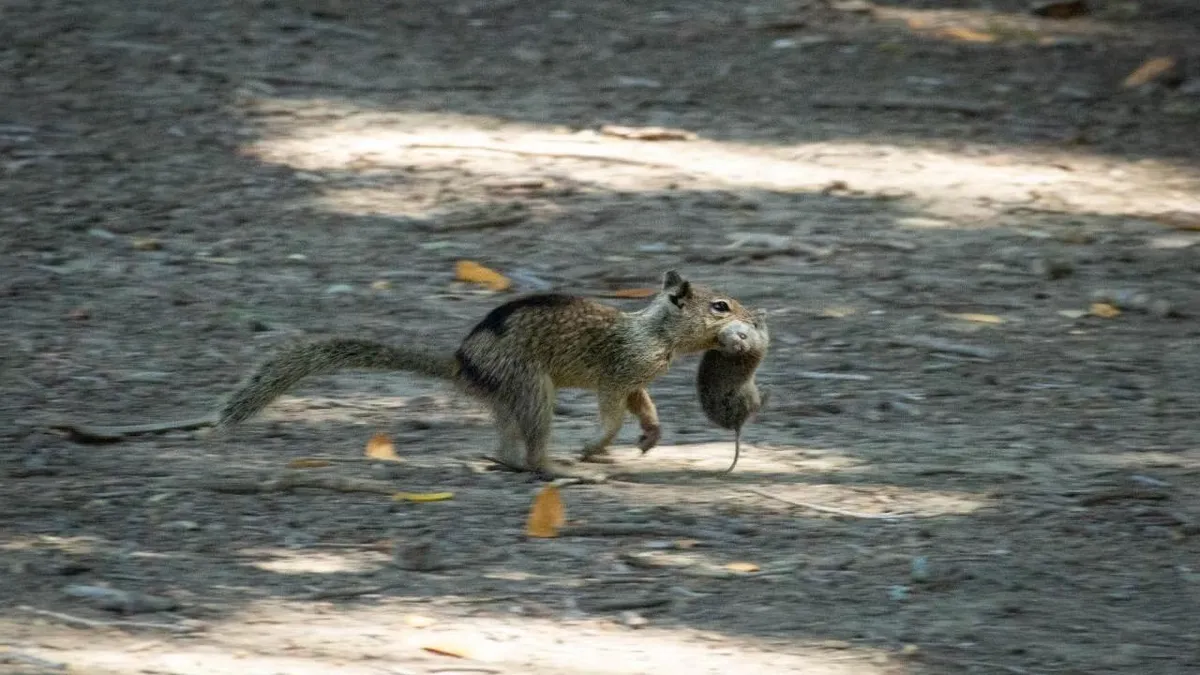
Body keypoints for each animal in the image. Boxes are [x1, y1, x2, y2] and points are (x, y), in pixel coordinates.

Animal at [212, 267, 753, 478]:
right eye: (720, 306)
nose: (753, 320)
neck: (656, 332)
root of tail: (462, 364)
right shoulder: (618, 373)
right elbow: (613, 413)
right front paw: (596, 444)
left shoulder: (636, 380)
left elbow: (645, 406)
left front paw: (650, 436)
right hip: (532, 388)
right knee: (532, 453)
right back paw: (560, 466)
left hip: (510, 397)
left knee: (508, 448)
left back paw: (506, 460)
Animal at [696, 306, 768, 470]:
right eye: (723, 343)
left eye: (742, 335)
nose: (740, 347)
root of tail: (737, 424)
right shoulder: (760, 342)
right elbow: (764, 334)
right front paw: (759, 315)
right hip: (750, 395)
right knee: (757, 406)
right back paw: (767, 392)